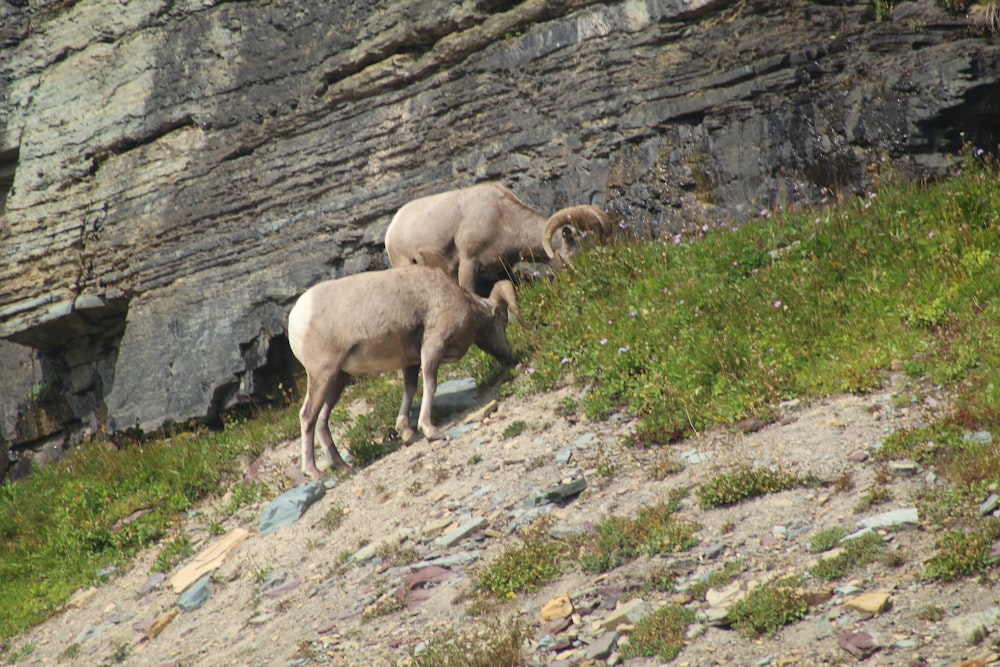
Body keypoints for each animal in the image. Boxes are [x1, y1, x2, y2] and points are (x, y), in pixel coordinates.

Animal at [284, 264, 524, 478]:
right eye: (502, 321)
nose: (508, 357)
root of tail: (296, 318)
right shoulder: (432, 346)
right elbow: (430, 384)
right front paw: (430, 430)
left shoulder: (410, 362)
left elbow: (410, 389)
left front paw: (406, 432)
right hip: (322, 374)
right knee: (307, 416)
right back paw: (313, 472)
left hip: (338, 378)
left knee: (322, 420)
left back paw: (344, 468)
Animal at [384, 183, 612, 292]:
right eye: (579, 251)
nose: (590, 273)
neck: (503, 218)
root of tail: (392, 229)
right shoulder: (468, 262)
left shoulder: (504, 268)